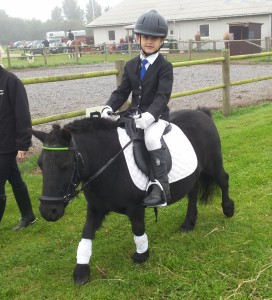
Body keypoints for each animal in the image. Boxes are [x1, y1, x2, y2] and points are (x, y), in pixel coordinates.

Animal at [31, 107, 234, 284]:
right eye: (40, 165)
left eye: (65, 165)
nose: (48, 212)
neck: (110, 162)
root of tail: (202, 113)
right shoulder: (96, 208)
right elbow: (86, 233)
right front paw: (81, 271)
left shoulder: (135, 207)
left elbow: (137, 229)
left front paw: (141, 255)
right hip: (194, 174)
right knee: (192, 194)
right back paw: (188, 224)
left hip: (213, 164)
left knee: (223, 180)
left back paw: (228, 209)